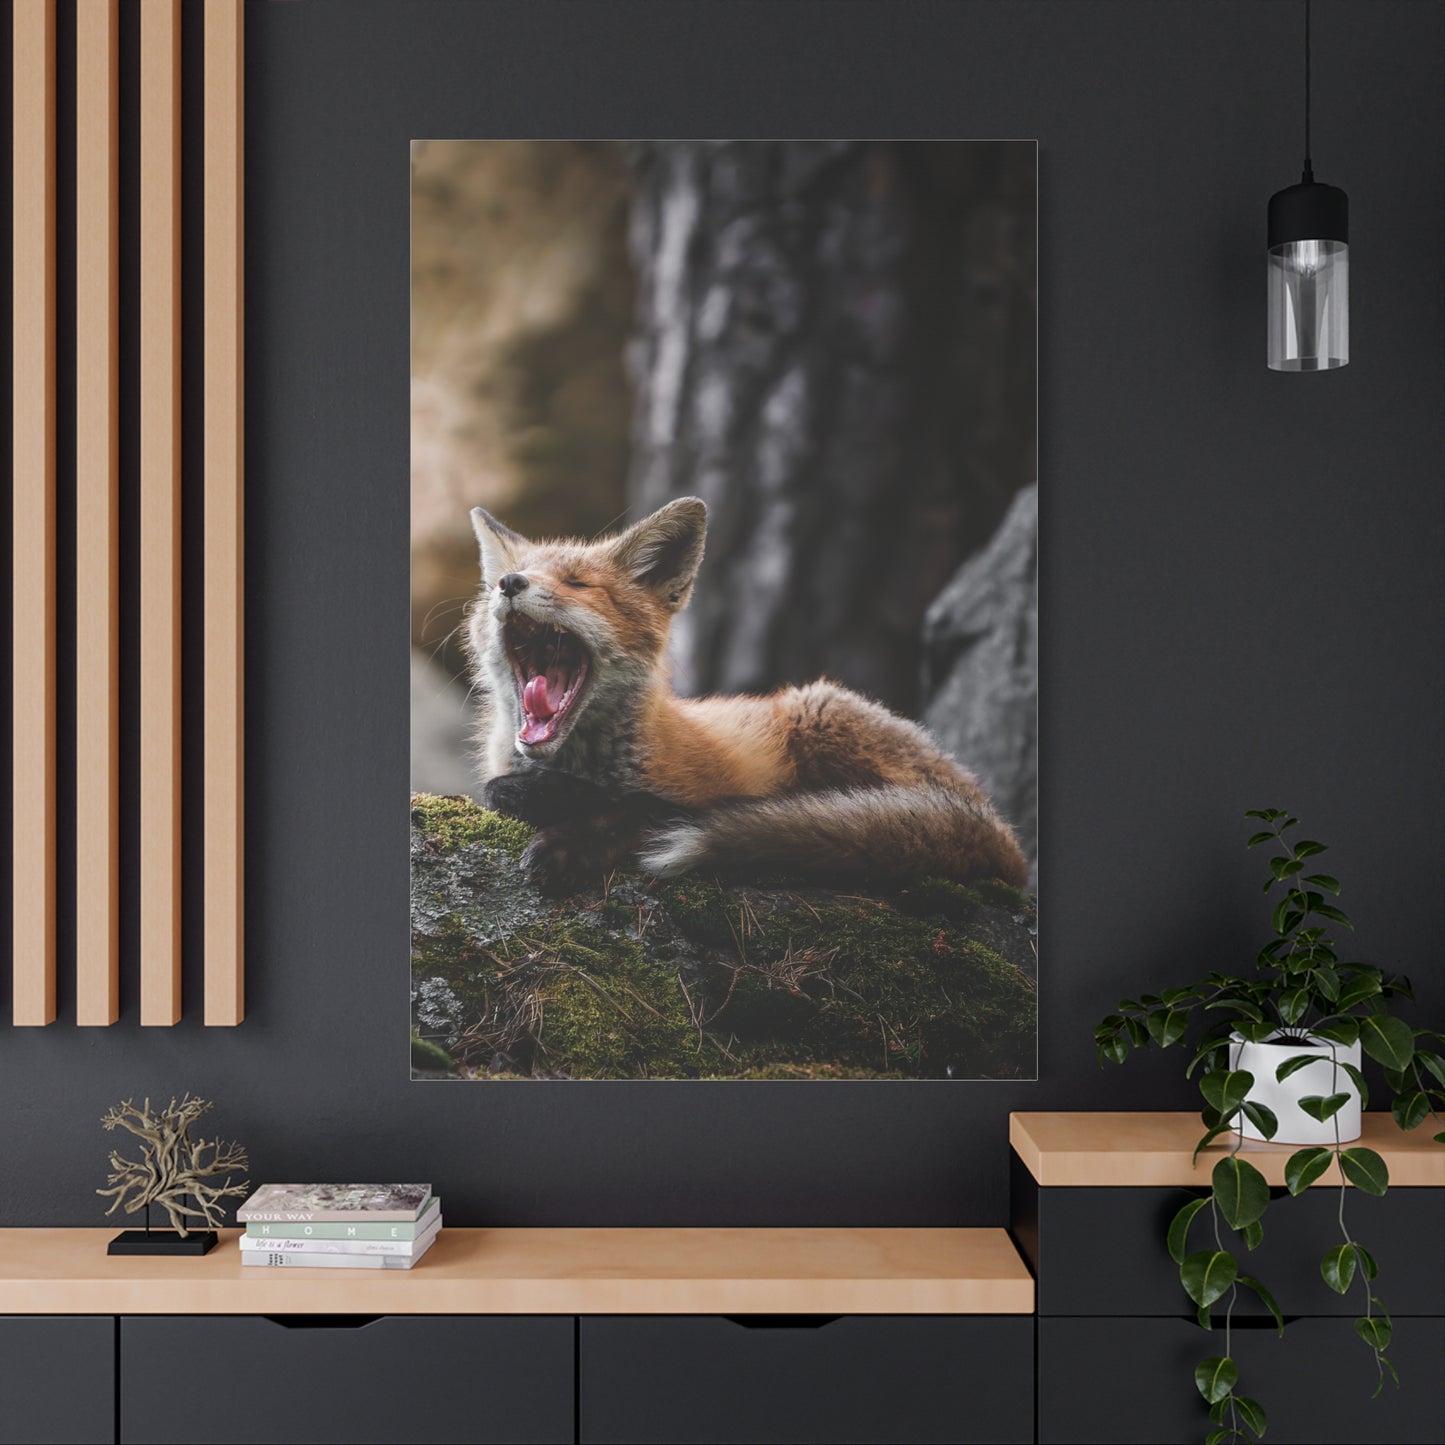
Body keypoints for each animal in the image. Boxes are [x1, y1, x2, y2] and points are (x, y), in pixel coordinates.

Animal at [465, 496, 1028, 895]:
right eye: (497, 584)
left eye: (577, 584)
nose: (509, 583)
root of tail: (1001, 829)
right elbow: (501, 791)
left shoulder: (702, 790)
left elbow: (644, 810)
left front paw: (569, 840)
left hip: (819, 711)